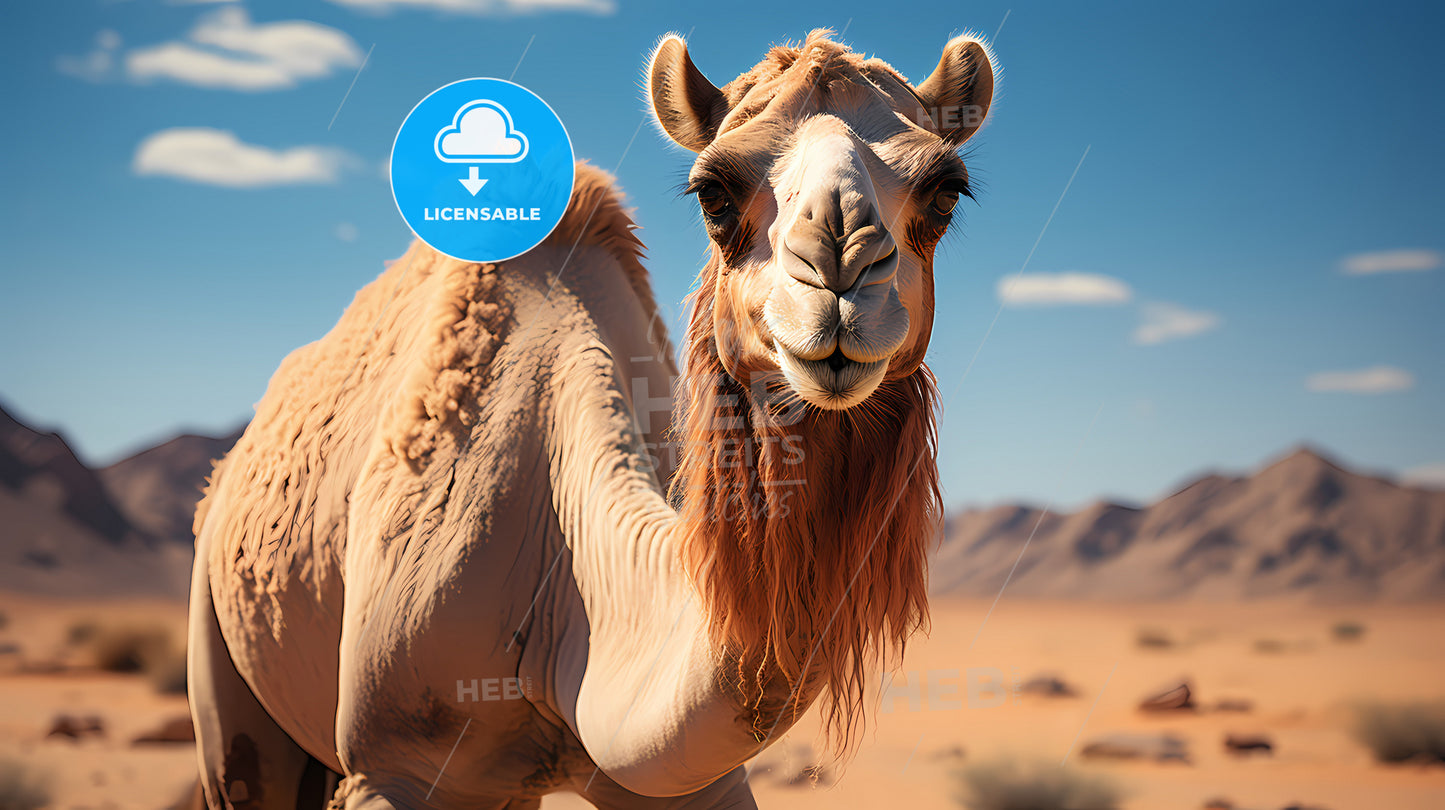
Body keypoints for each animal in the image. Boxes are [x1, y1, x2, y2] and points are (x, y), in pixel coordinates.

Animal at [187, 29, 995, 809]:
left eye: (944, 193)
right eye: (713, 194)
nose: (838, 278)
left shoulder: (686, 783)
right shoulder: (392, 764)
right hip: (222, 661)